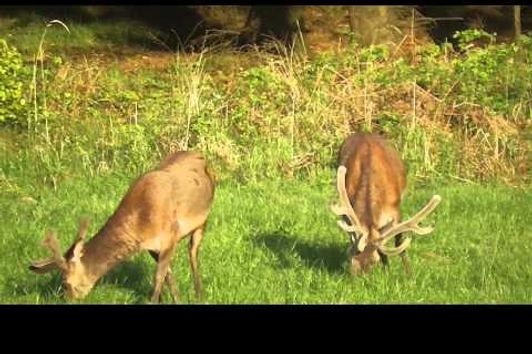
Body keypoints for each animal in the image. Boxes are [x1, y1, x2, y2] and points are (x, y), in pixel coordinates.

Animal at [28, 151, 216, 302]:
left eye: (65, 283)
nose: (66, 299)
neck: (141, 222)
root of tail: (200, 155)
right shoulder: (152, 247)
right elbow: (167, 276)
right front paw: (176, 299)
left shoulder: (170, 235)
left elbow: (158, 278)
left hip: (203, 219)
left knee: (193, 252)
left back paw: (200, 294)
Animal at [332, 134, 440, 276]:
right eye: (353, 256)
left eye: (374, 261)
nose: (358, 276)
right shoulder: (348, 207)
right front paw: (387, 269)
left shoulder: (395, 209)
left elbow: (398, 241)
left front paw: (405, 273)